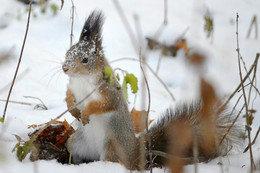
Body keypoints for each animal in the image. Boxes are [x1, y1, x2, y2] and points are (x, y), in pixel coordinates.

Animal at [63, 10, 242, 170]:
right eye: (68, 52)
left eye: (85, 60)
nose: (65, 68)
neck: (82, 80)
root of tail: (136, 152)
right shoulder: (72, 86)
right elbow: (68, 95)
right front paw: (72, 107)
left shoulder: (108, 91)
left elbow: (105, 104)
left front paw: (86, 111)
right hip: (76, 142)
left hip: (112, 147)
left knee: (117, 162)